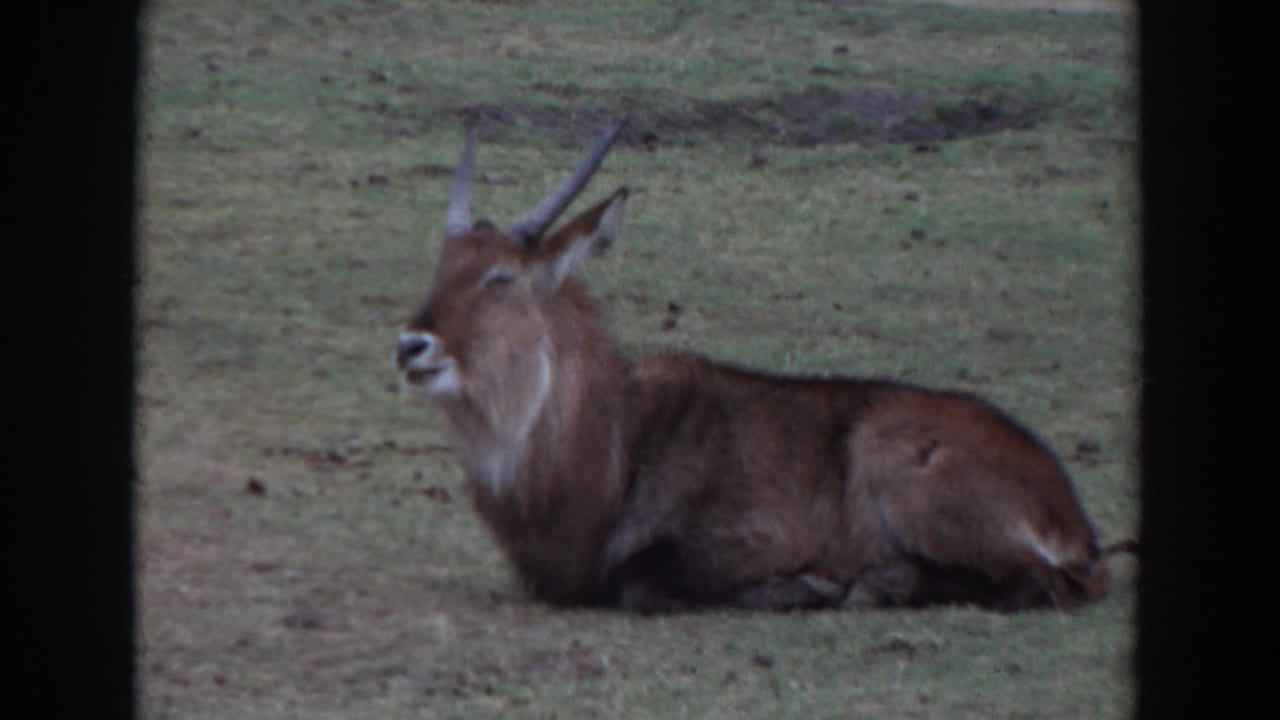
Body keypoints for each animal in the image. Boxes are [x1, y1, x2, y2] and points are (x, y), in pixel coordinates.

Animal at [393, 118, 1129, 612]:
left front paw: (807, 585)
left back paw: (874, 583)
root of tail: (1067, 506)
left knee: (1046, 582)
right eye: (441, 267)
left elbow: (640, 580)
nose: (411, 344)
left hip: (893, 453)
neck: (615, 442)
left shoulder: (749, 536)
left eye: (500, 277)